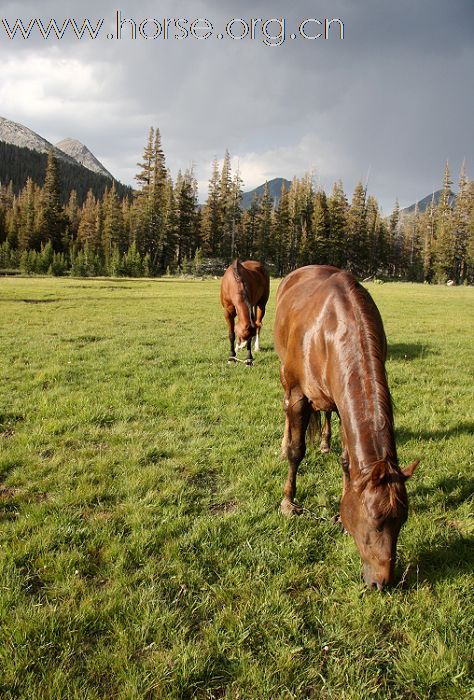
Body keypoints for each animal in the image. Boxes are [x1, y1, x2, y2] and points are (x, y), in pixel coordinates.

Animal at [274, 266, 418, 588]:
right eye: (374, 521)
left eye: (402, 520)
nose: (381, 582)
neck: (334, 329)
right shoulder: (298, 394)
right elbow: (297, 451)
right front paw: (288, 503)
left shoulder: (342, 398)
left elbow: (345, 459)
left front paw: (340, 513)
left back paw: (325, 442)